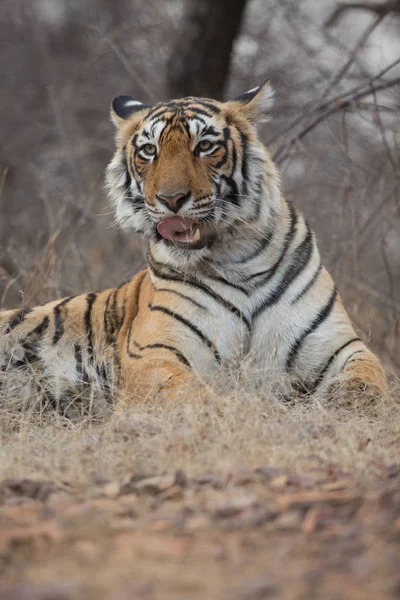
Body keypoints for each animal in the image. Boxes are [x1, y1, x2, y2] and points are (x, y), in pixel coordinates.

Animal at [0, 82, 388, 410]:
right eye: (149, 151)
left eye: (204, 146)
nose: (171, 200)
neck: (238, 259)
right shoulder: (155, 352)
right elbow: (185, 393)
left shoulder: (336, 344)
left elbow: (369, 375)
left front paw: (348, 402)